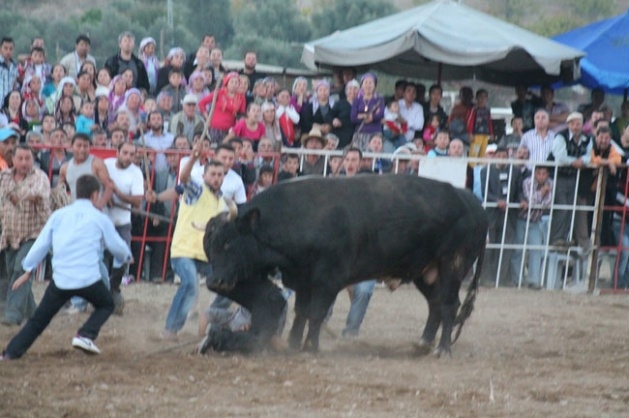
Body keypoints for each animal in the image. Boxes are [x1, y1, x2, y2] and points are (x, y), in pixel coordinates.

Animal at [204, 175, 488, 354]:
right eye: (209, 248)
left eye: (228, 243)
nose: (214, 281)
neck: (301, 216)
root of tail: (470, 200)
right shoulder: (303, 280)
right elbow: (302, 312)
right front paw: (294, 344)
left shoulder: (328, 281)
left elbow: (316, 313)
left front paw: (310, 347)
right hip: (425, 272)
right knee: (435, 304)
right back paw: (423, 343)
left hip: (452, 264)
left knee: (449, 305)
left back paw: (442, 349)